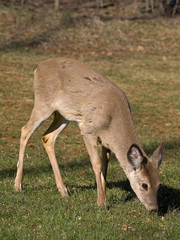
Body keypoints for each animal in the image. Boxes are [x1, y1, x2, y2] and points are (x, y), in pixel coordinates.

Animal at [14, 58, 165, 212]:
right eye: (144, 185)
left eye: (159, 185)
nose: (154, 208)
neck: (112, 120)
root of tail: (38, 68)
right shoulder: (88, 129)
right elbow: (96, 163)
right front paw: (101, 203)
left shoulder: (106, 141)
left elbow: (105, 166)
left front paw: (103, 197)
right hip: (44, 103)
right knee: (25, 130)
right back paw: (18, 185)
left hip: (64, 114)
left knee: (47, 137)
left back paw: (63, 190)